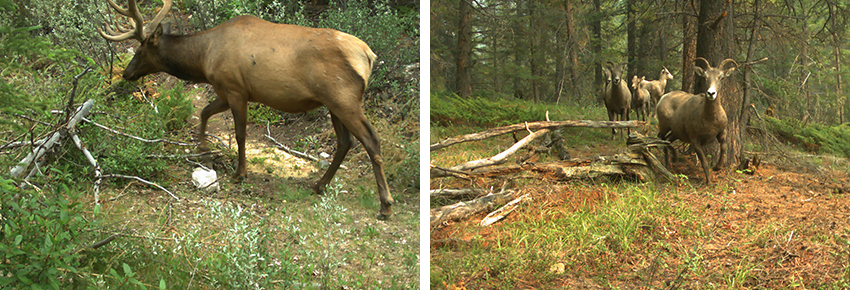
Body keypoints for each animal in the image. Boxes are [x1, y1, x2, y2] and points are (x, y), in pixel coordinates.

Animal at [100, 0, 394, 219]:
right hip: (333, 103)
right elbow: (204, 113)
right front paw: (203, 148)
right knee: (345, 142)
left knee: (371, 140)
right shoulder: (223, 90)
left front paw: (239, 172)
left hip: (343, 98)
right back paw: (319, 185)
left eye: (141, 50)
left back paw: (385, 205)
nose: (126, 73)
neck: (203, 59)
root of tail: (368, 56)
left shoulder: (235, 89)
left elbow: (240, 133)